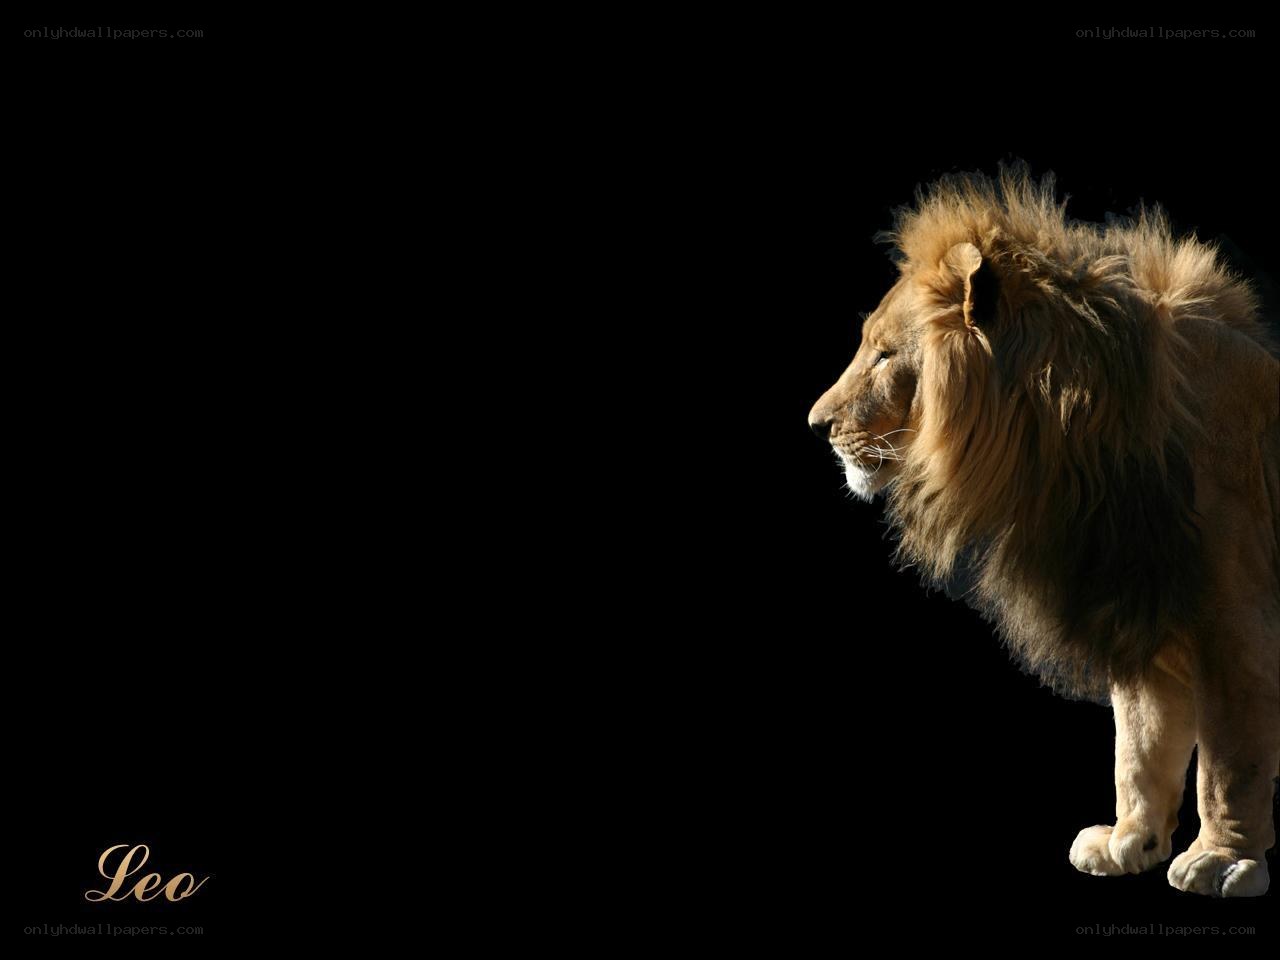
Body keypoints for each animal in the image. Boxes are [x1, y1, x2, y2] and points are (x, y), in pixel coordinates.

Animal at [808, 167, 1280, 897]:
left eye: (885, 354)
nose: (816, 424)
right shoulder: (1135, 607)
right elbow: (1138, 746)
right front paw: (1128, 842)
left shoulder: (1236, 623)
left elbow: (1232, 757)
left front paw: (1223, 858)